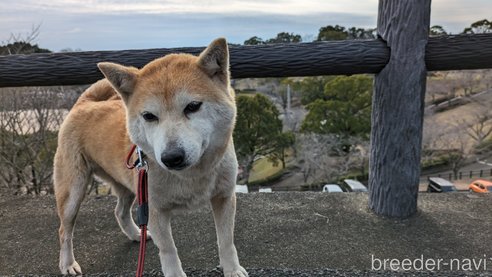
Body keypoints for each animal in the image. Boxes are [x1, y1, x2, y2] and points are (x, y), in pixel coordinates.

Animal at [52, 38, 250, 276]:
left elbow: (226, 241)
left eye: (193, 106)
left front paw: (232, 269)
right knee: (64, 230)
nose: (171, 157)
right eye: (149, 116)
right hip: (74, 191)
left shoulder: (224, 197)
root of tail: (84, 103)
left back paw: (136, 234)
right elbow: (168, 250)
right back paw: (67, 264)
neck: (191, 176)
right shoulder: (156, 210)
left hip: (131, 186)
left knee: (119, 212)